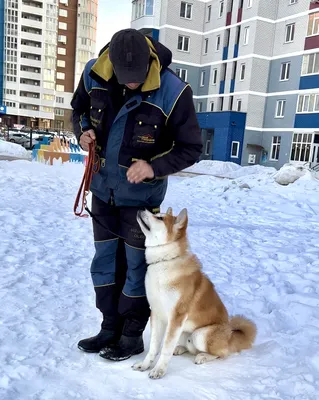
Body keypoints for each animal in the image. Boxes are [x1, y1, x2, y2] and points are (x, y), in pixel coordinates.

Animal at [132, 208, 258, 380]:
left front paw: (159, 370)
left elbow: (165, 349)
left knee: (221, 353)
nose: (140, 209)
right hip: (184, 333)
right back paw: (180, 348)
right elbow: (153, 346)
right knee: (190, 348)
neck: (164, 263)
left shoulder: (176, 317)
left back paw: (203, 356)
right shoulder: (156, 314)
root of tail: (231, 335)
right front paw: (144, 365)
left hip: (200, 334)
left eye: (160, 218)